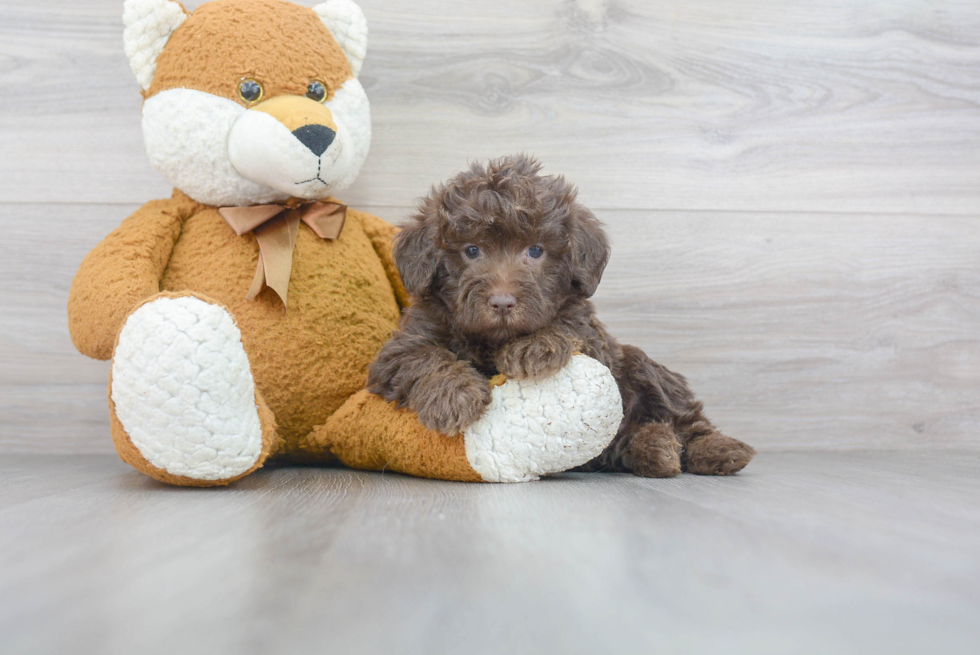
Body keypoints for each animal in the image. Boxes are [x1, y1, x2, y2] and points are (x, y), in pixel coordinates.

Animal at [368, 156, 756, 480]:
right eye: (472, 250)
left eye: (536, 251)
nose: (502, 303)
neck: (494, 337)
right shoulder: (399, 349)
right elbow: (424, 357)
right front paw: (455, 395)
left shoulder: (592, 336)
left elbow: (565, 326)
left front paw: (533, 348)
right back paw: (654, 448)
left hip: (640, 365)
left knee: (686, 418)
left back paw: (716, 450)